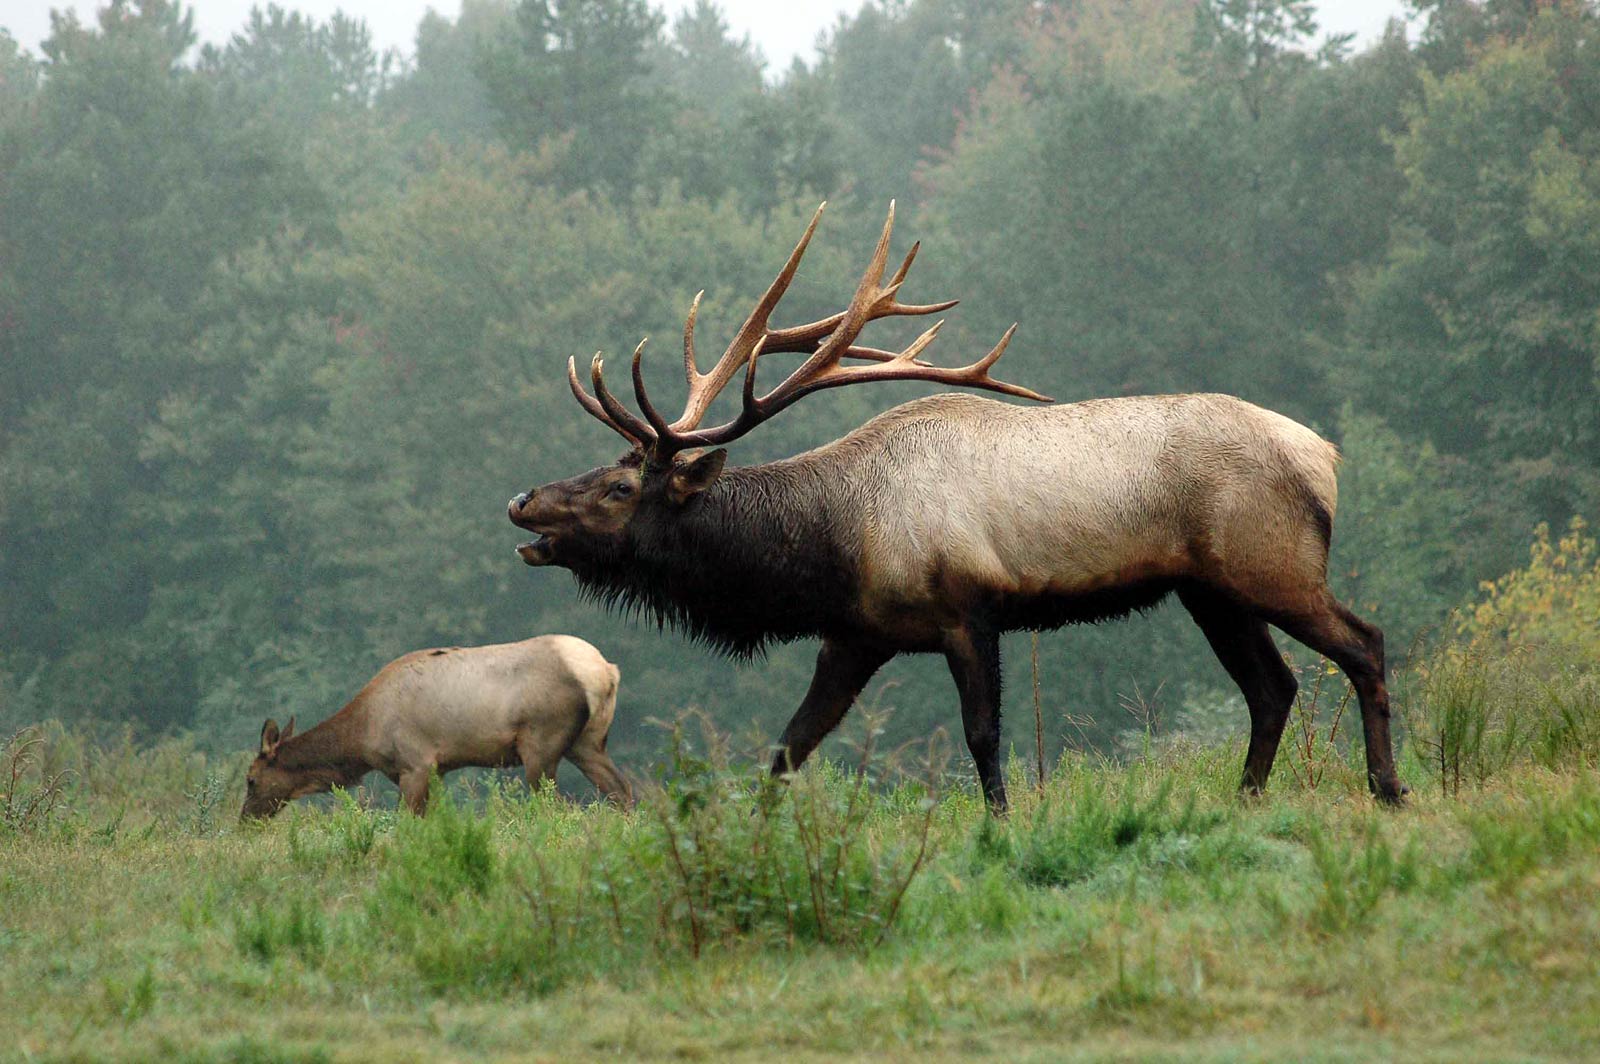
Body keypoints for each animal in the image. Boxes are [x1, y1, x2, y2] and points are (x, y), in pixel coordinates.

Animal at [241, 635, 632, 819]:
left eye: (251, 779)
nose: (245, 820)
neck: (363, 736)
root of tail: (606, 671)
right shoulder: (438, 769)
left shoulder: (414, 763)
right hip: (588, 742)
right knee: (621, 790)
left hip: (541, 742)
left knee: (554, 805)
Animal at [506, 203, 1405, 814]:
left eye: (621, 488)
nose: (523, 501)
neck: (831, 546)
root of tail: (1325, 457)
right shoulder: (856, 634)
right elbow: (789, 748)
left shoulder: (969, 611)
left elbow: (982, 736)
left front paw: (1001, 826)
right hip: (1210, 590)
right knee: (1273, 687)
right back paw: (1246, 797)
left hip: (1271, 565)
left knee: (1364, 643)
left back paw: (1388, 788)